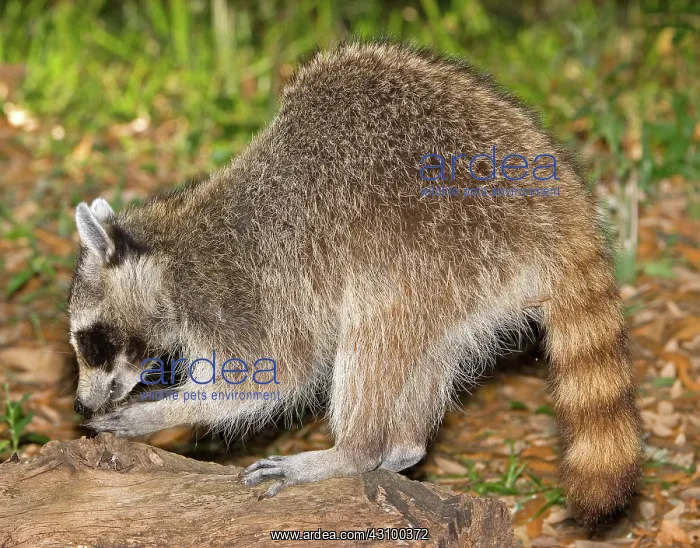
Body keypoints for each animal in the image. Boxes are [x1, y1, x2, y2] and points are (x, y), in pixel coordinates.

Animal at [68, 40, 642, 525]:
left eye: (91, 341)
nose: (80, 404)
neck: (171, 254)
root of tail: (562, 209)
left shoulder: (240, 289)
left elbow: (275, 373)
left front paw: (155, 413)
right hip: (471, 278)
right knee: (427, 346)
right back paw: (403, 446)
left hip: (443, 243)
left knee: (374, 328)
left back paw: (355, 451)